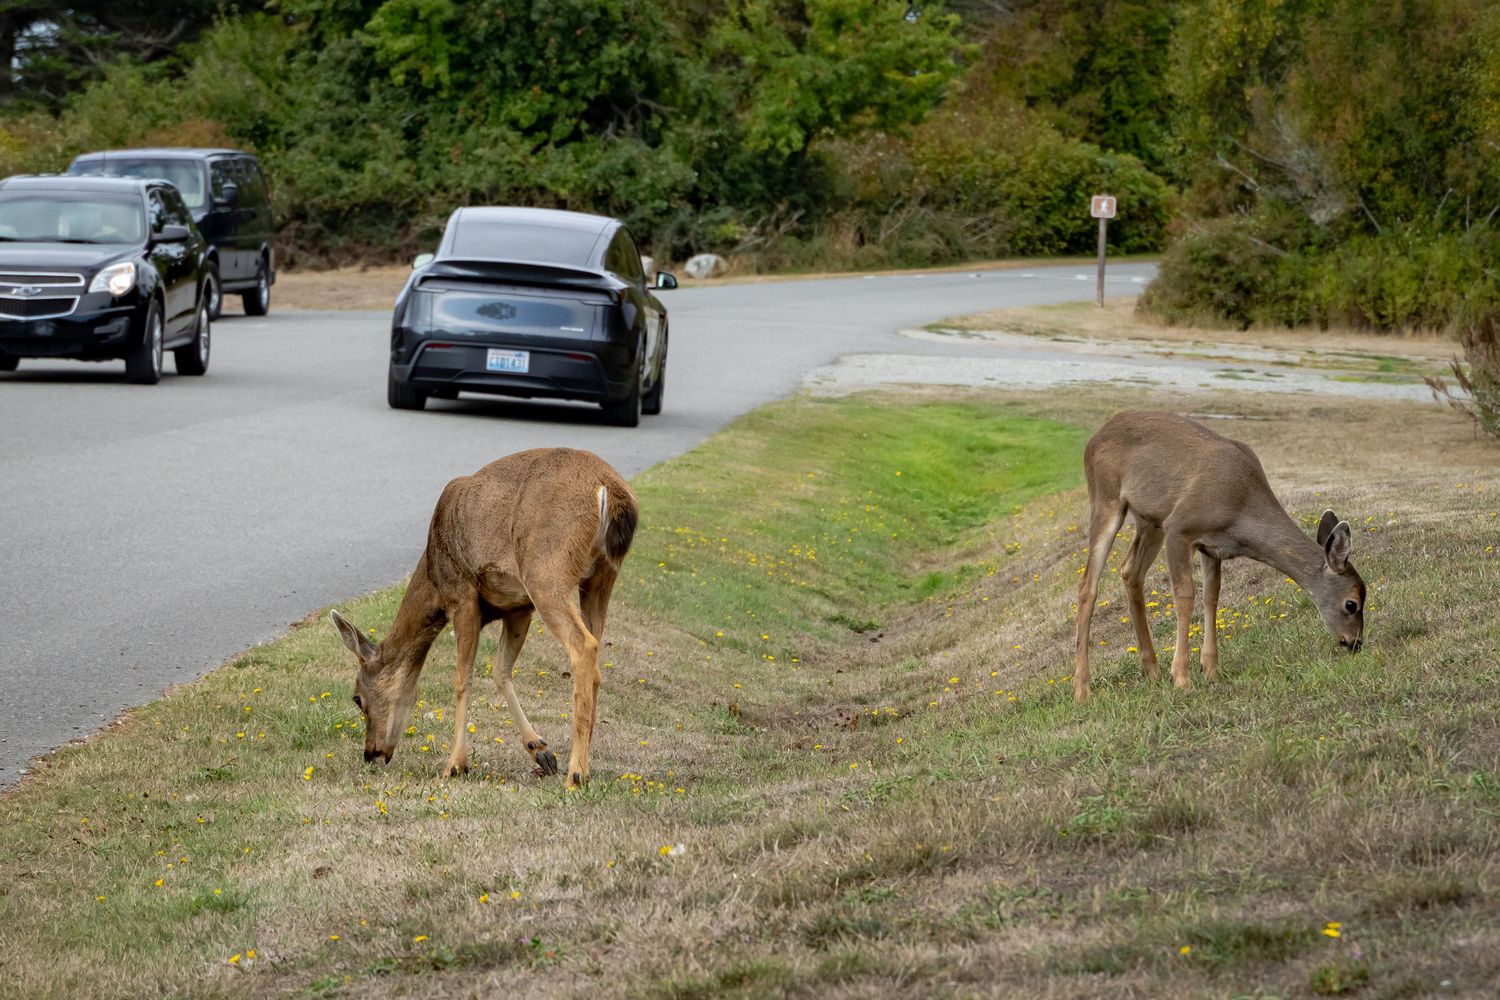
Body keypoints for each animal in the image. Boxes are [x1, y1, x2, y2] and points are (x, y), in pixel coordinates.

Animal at [329, 448, 638, 789]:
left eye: (357, 698)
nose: (371, 753)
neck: (433, 580)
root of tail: (609, 489)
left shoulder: (461, 595)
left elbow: (463, 678)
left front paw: (455, 764)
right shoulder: (517, 608)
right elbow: (500, 671)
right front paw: (541, 751)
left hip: (546, 571)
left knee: (584, 646)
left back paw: (576, 775)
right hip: (600, 577)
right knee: (595, 650)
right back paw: (584, 761)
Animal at [1072, 411, 1366, 702]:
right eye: (1351, 604)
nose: (1355, 643)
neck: (1239, 509)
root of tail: (1093, 439)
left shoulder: (1212, 547)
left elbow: (1211, 596)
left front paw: (1211, 668)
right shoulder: (1179, 527)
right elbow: (1185, 596)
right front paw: (1182, 677)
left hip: (1150, 519)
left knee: (1130, 571)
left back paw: (1152, 670)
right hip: (1106, 498)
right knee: (1088, 585)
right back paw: (1082, 688)